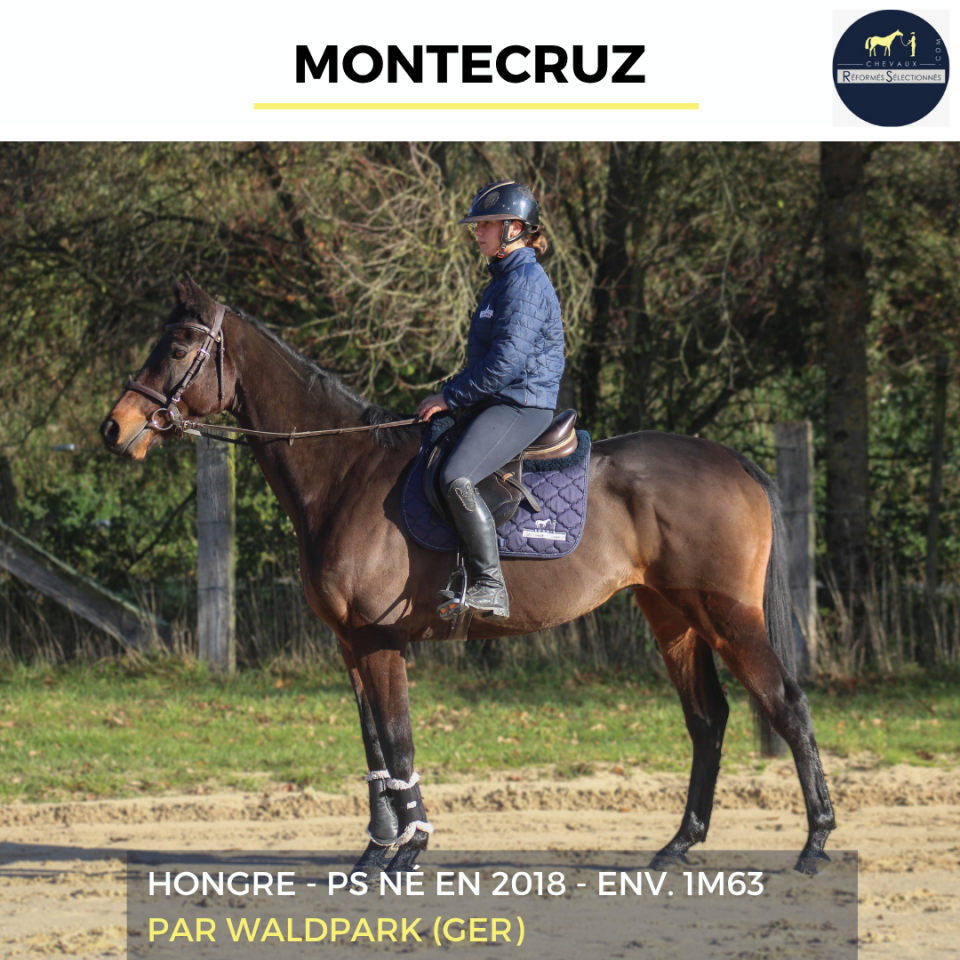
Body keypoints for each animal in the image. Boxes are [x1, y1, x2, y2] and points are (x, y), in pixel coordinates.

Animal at [101, 277, 835, 876]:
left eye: (177, 347)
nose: (115, 428)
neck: (344, 474)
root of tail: (735, 463)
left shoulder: (380, 641)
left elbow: (398, 741)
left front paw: (411, 848)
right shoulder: (351, 645)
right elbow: (373, 746)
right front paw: (375, 850)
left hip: (727, 617)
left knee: (788, 705)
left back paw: (815, 843)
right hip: (673, 617)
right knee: (707, 720)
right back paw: (680, 844)